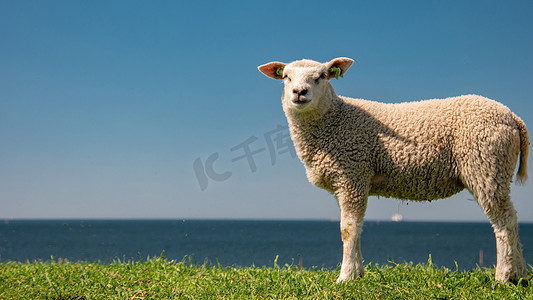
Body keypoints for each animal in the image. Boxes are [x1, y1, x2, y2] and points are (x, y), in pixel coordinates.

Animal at [256, 56, 528, 284]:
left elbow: (347, 229)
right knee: (513, 219)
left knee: (503, 222)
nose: (299, 92)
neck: (333, 120)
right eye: (286, 77)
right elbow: (357, 227)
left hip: (486, 165)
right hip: (496, 169)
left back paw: (503, 276)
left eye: (322, 76)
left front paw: (345, 277)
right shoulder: (348, 181)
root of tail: (512, 117)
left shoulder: (352, 173)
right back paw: (521, 274)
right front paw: (358, 273)